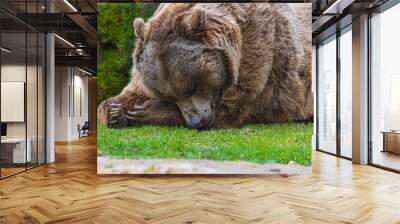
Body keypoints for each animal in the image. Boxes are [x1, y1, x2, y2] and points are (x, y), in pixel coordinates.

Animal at [97, 3, 312, 130]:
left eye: (193, 86)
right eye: (167, 94)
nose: (195, 122)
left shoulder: (260, 50)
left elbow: (231, 108)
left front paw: (145, 112)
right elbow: (128, 93)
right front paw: (115, 112)